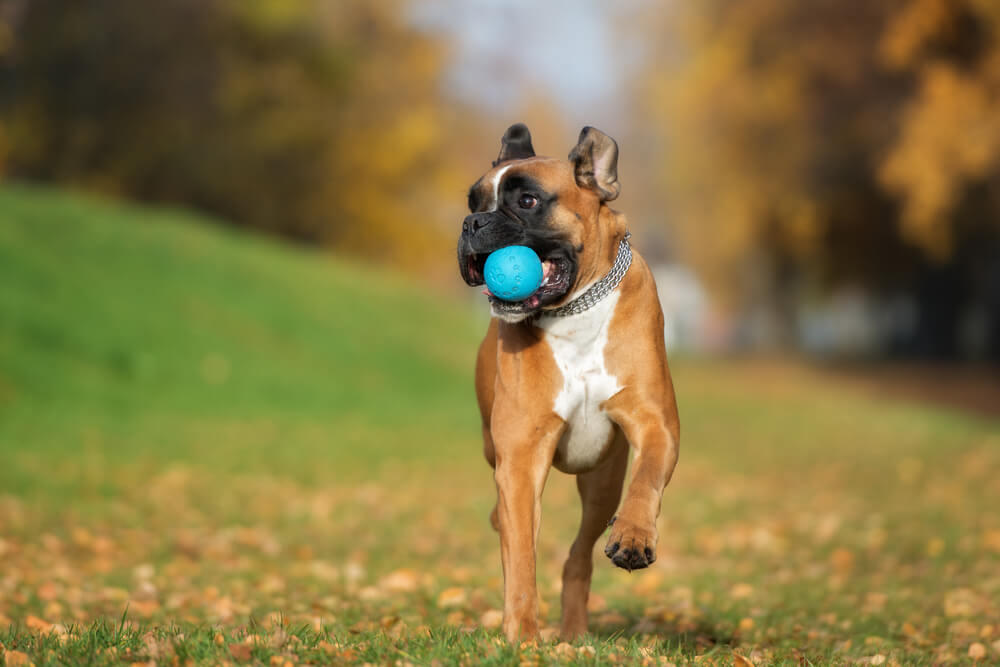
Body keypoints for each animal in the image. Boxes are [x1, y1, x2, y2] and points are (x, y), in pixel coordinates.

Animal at [458, 125, 680, 640]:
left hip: (601, 484)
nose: (471, 223)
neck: (575, 309)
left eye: (527, 201)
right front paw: (521, 636)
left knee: (578, 556)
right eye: (473, 201)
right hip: (498, 450)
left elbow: (647, 476)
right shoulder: (520, 458)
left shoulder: (656, 424)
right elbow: (521, 558)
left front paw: (634, 534)